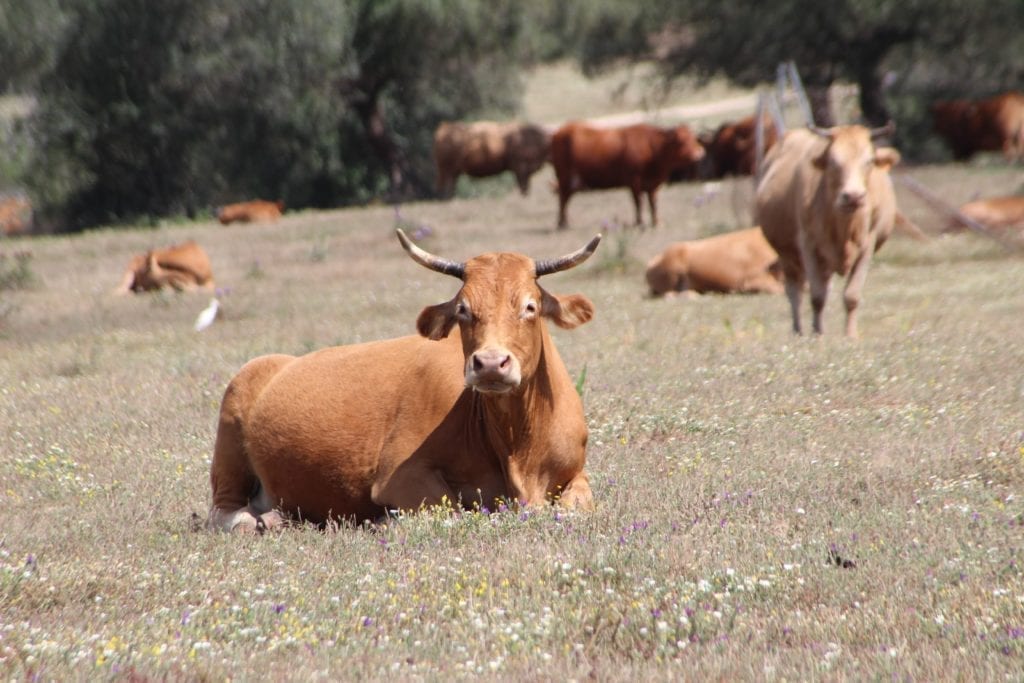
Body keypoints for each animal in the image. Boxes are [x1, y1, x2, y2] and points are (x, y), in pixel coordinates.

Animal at [207, 229, 601, 532]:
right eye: (463, 310)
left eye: (530, 306)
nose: (490, 363)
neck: (518, 446)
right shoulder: (400, 476)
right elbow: (450, 510)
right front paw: (385, 521)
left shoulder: (576, 472)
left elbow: (580, 505)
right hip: (230, 438)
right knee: (225, 511)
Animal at [550, 121, 706, 229]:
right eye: (681, 141)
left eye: (694, 138)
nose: (699, 153)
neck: (652, 149)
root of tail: (560, 131)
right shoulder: (634, 182)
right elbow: (639, 203)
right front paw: (639, 222)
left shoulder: (653, 185)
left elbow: (653, 204)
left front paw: (656, 222)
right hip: (564, 178)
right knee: (562, 199)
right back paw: (562, 224)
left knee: (565, 199)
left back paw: (565, 222)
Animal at [755, 124, 901, 337]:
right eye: (833, 161)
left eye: (869, 161)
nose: (853, 196)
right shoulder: (807, 246)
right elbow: (816, 296)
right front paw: (817, 335)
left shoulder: (867, 246)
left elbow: (851, 296)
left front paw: (850, 335)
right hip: (788, 256)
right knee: (795, 292)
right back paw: (798, 330)